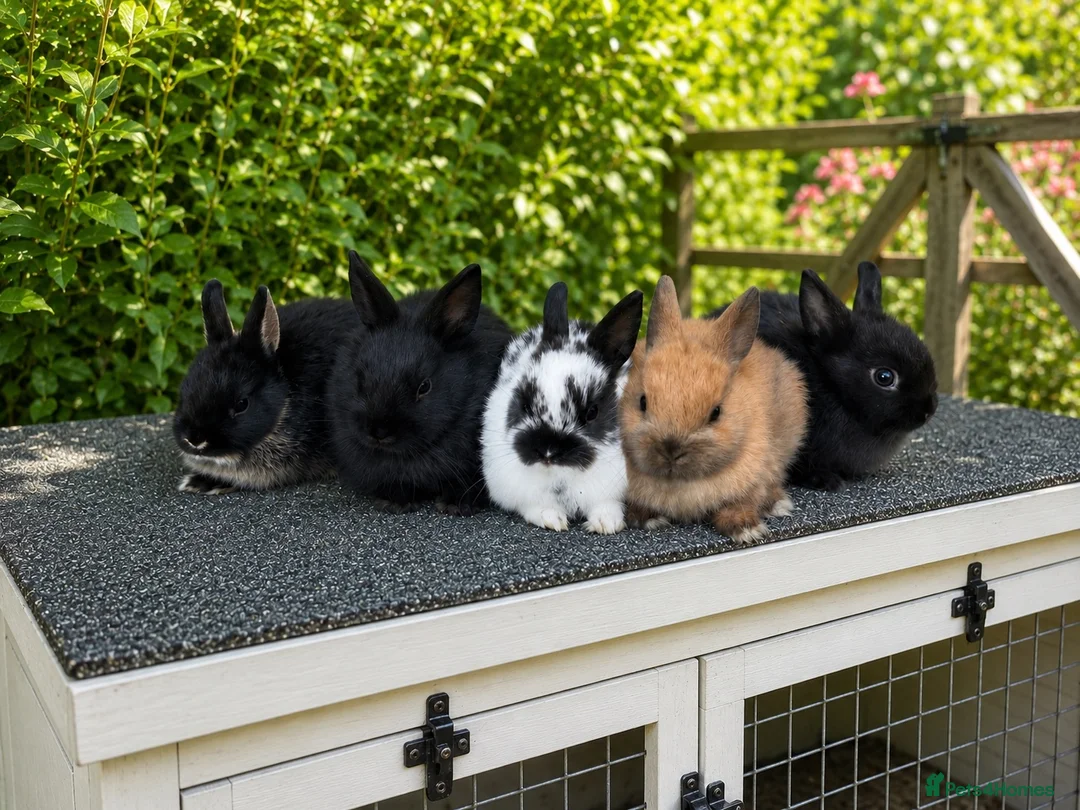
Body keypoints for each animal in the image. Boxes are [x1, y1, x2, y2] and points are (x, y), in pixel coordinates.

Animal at [481, 282, 643, 534]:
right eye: (525, 405)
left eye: (592, 412)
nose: (548, 452)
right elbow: (536, 505)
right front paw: (552, 520)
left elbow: (606, 504)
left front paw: (606, 524)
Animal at [620, 276, 808, 544]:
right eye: (642, 402)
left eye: (716, 412)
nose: (670, 451)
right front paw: (648, 519)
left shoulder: (757, 475)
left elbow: (743, 502)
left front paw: (746, 530)